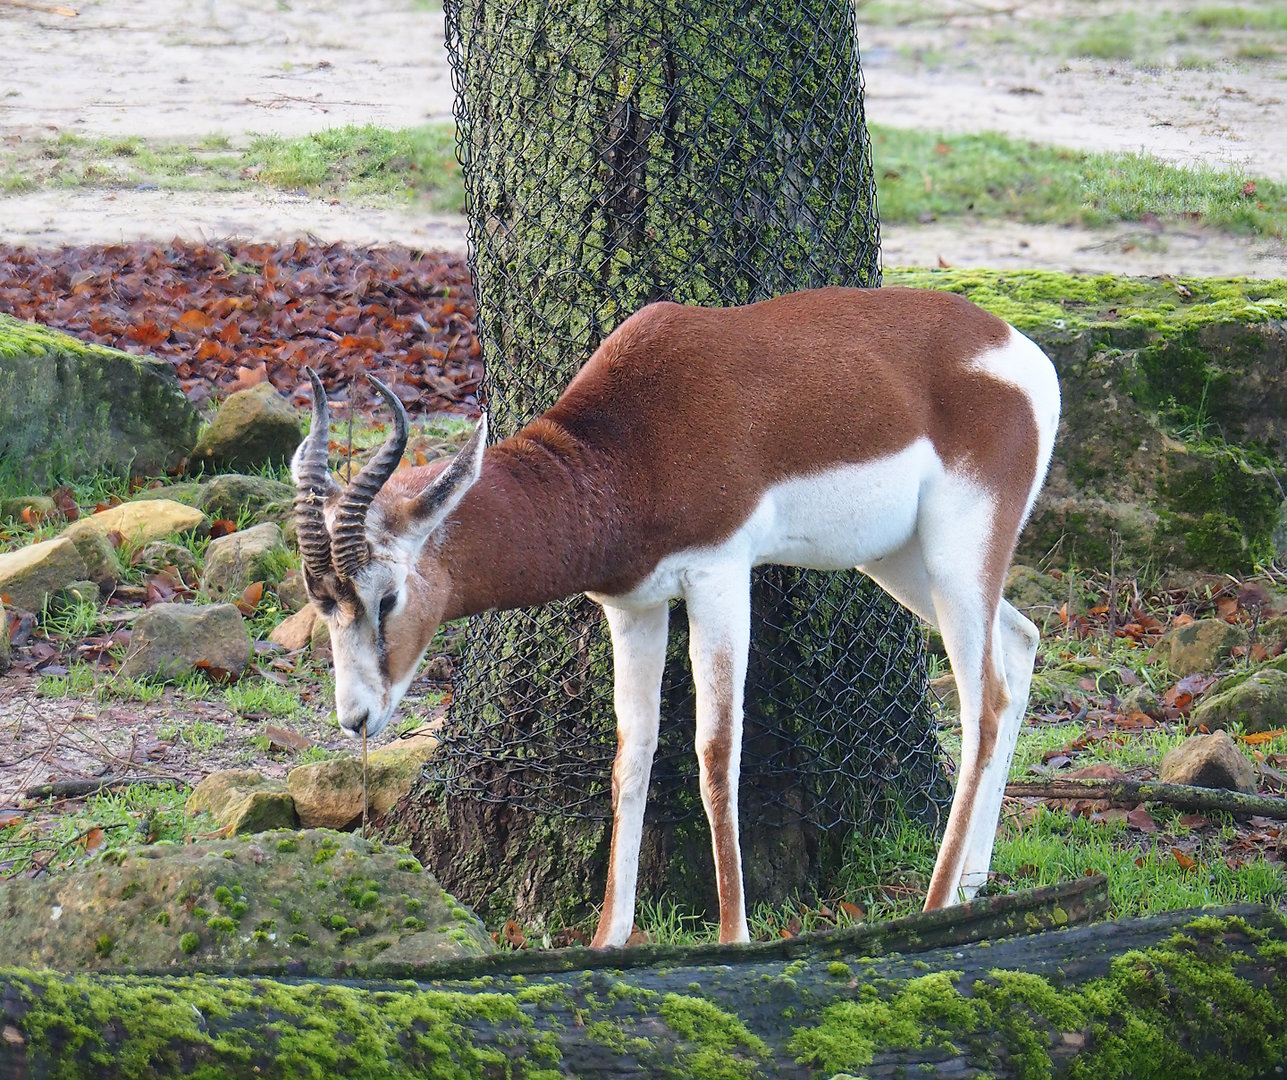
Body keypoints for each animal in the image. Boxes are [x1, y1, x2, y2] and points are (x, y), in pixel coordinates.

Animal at [291, 286, 1060, 948]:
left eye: (386, 596)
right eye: (320, 603)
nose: (356, 718)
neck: (629, 448)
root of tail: (1020, 351)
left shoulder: (719, 577)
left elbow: (715, 753)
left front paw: (733, 936)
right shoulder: (634, 607)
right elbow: (631, 756)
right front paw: (608, 938)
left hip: (956, 555)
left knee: (985, 703)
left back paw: (935, 907)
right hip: (901, 559)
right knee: (1021, 642)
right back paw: (972, 885)